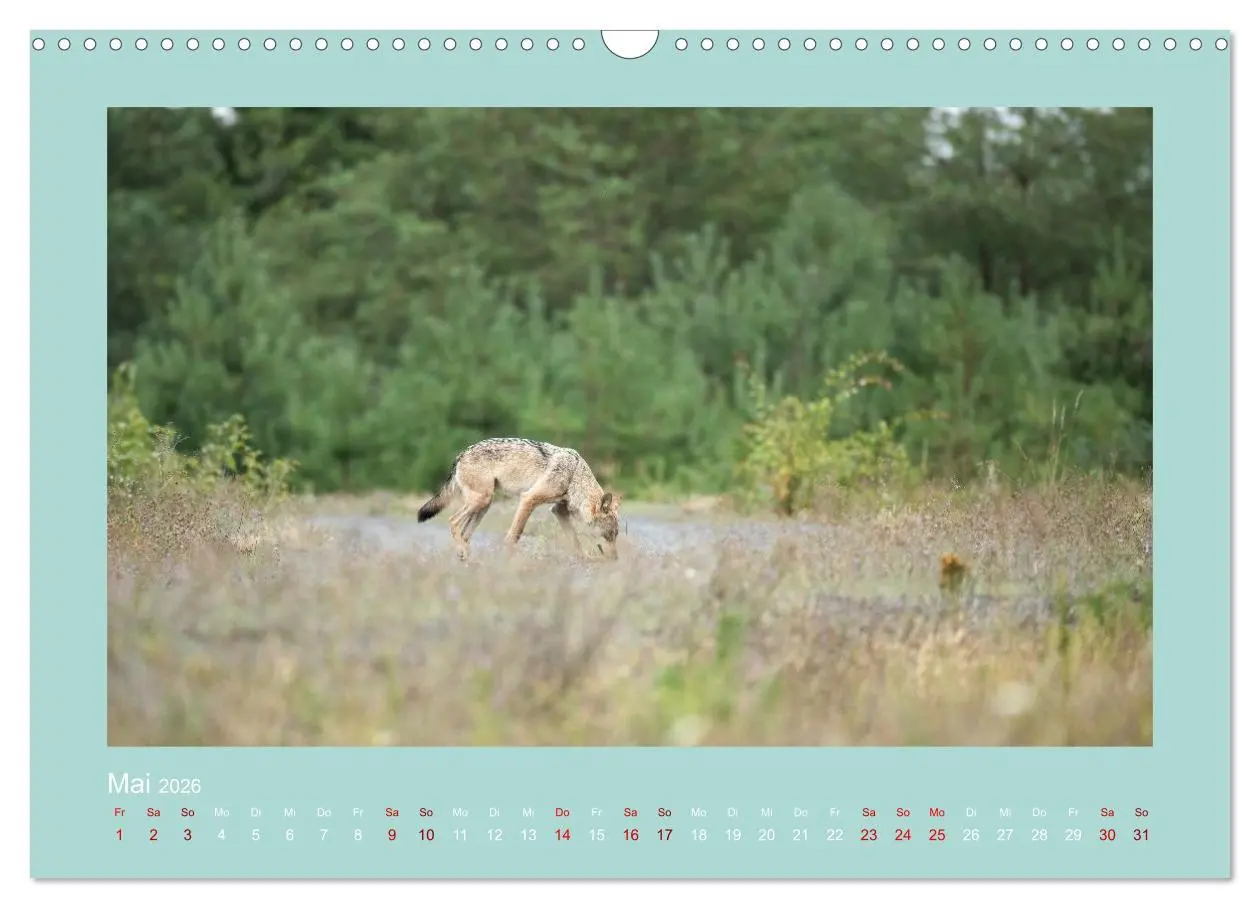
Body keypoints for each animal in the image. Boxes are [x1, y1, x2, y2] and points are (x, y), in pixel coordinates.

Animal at [416, 437, 621, 562]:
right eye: (611, 534)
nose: (615, 559)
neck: (574, 475)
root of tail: (460, 455)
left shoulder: (559, 510)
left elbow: (575, 540)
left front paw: (584, 559)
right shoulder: (529, 499)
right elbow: (515, 535)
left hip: (484, 505)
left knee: (465, 534)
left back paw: (467, 559)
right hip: (481, 501)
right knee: (453, 521)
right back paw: (462, 554)